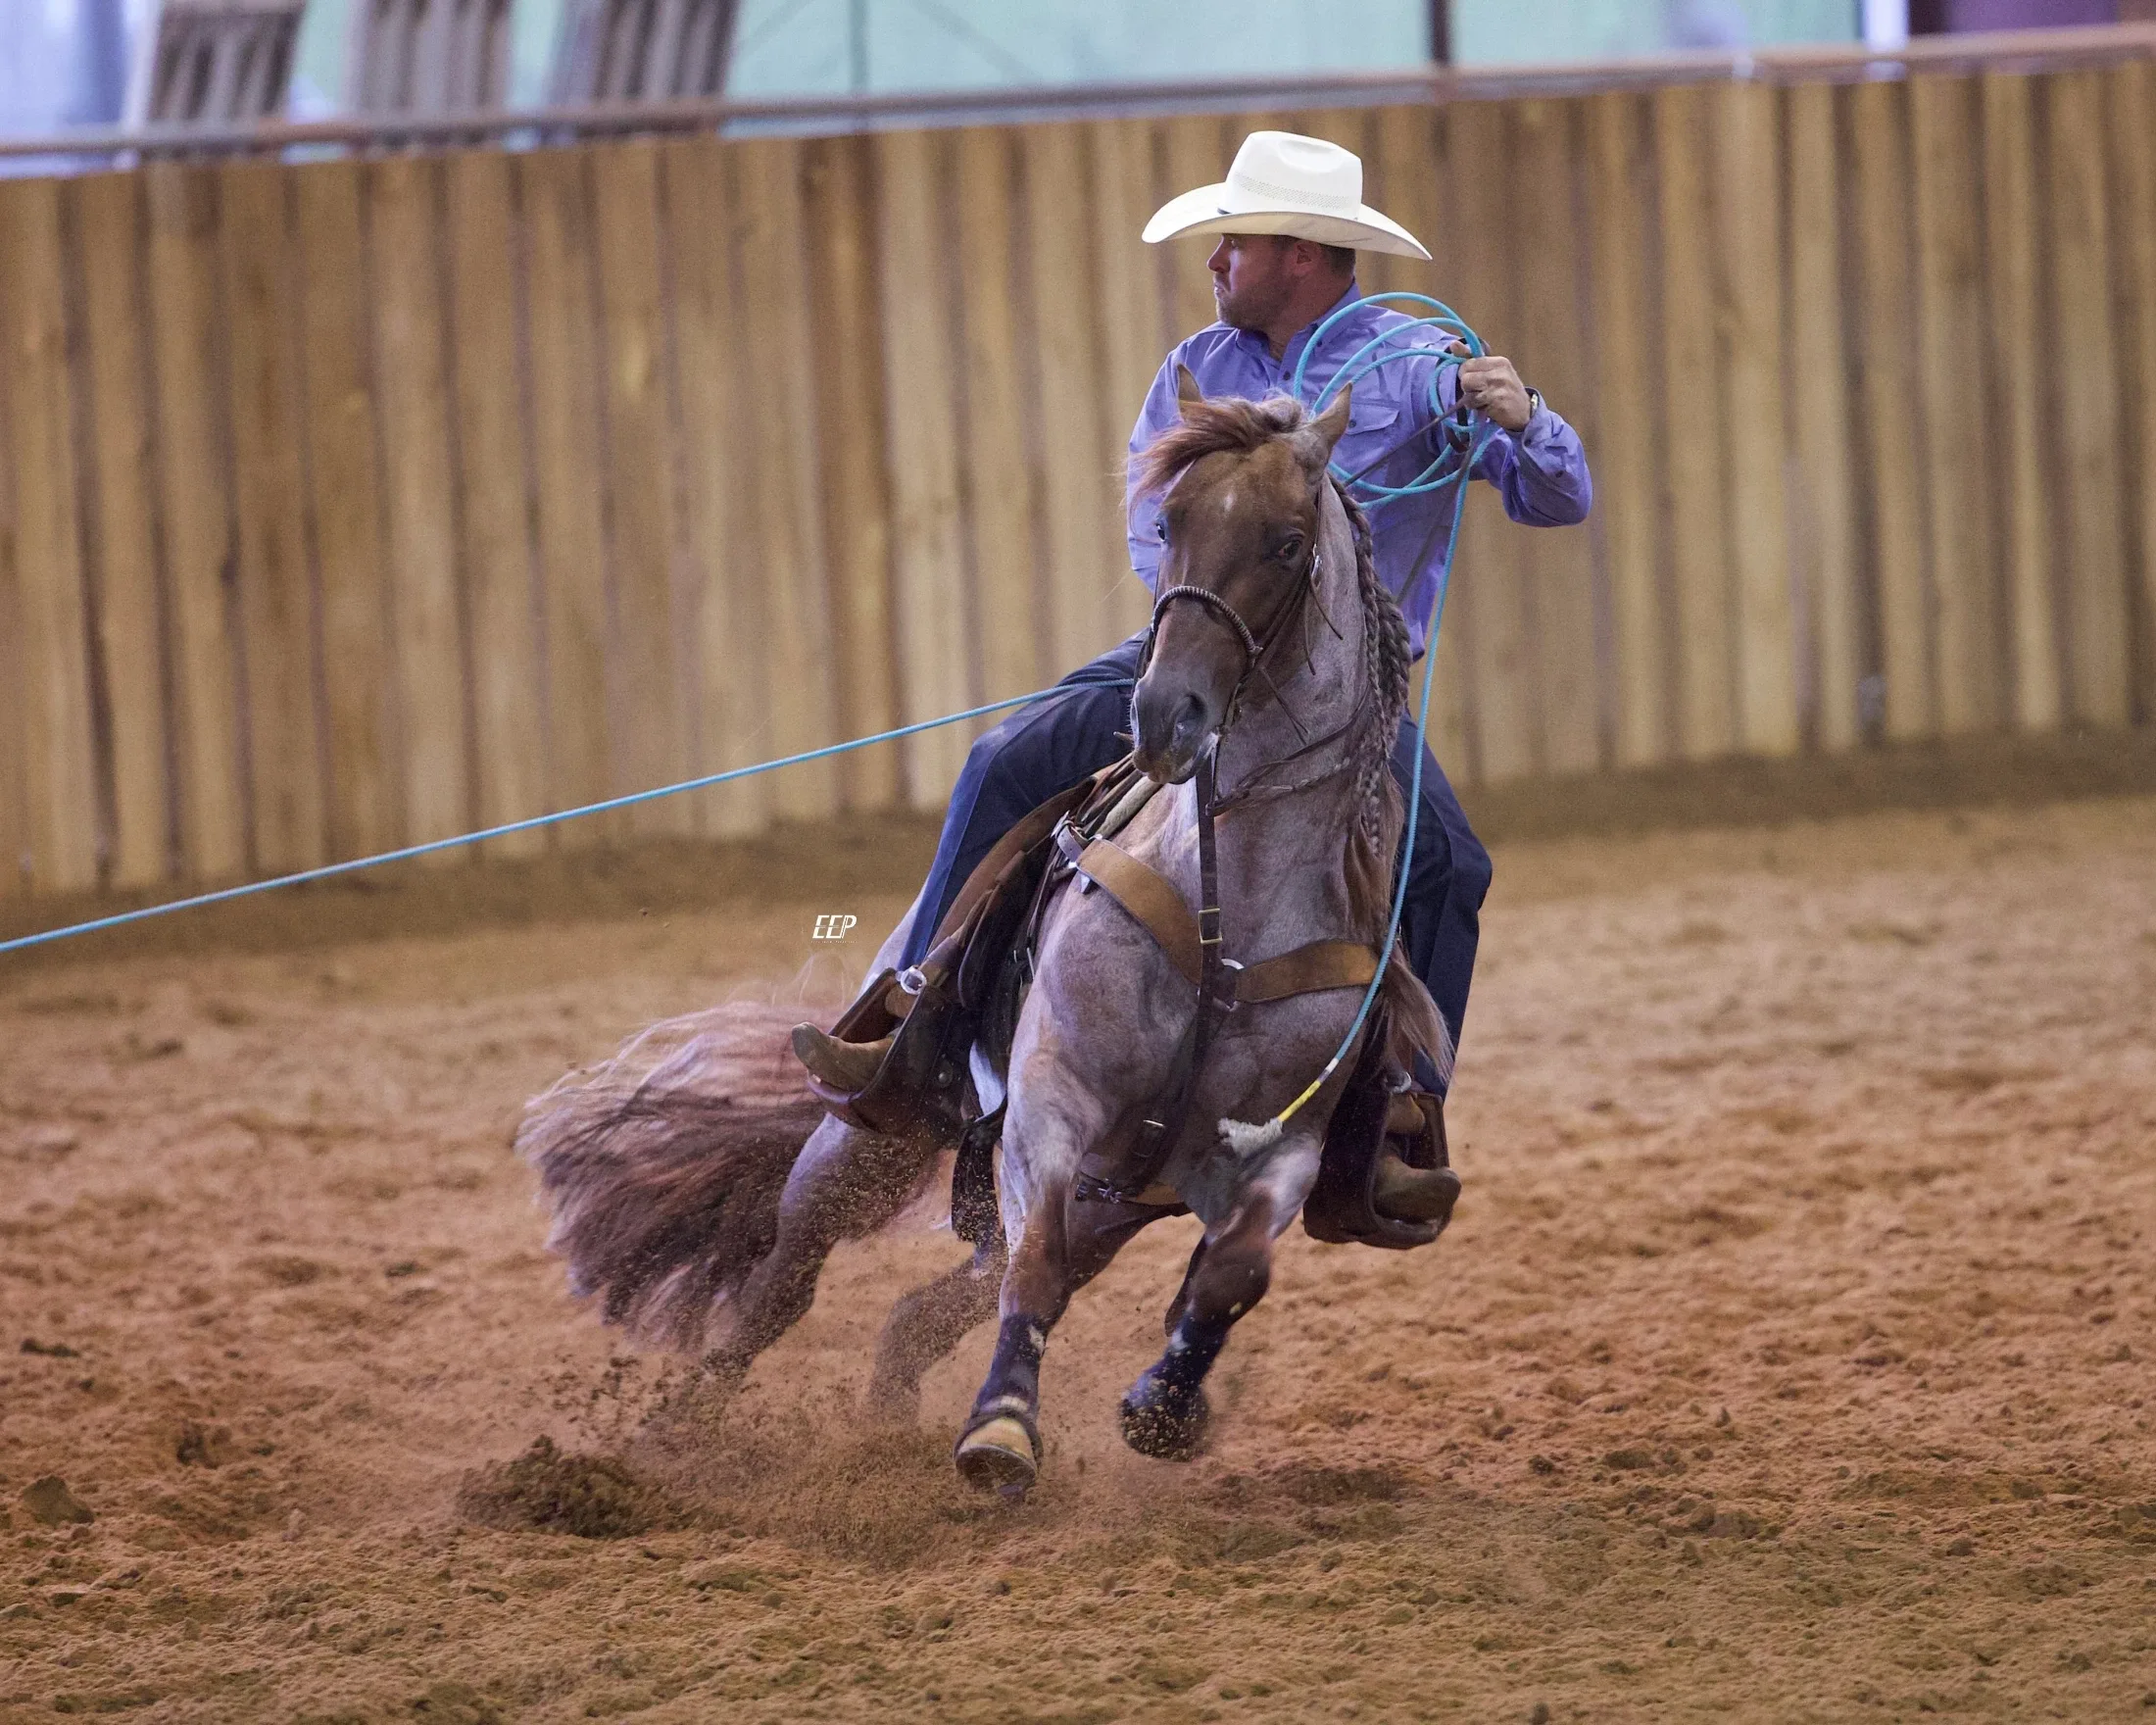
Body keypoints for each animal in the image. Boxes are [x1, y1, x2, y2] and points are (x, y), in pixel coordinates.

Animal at [518, 372, 1446, 1495]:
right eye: (1168, 520)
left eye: (1282, 540)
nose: (1166, 715)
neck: (1229, 909)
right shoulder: (1052, 1096)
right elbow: (1032, 1264)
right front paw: (1002, 1428)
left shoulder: (1282, 1147)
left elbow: (1230, 1274)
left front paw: (1162, 1406)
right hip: (871, 1135)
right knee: (789, 1280)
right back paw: (682, 1428)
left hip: (1110, 1204)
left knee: (929, 1310)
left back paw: (882, 1428)